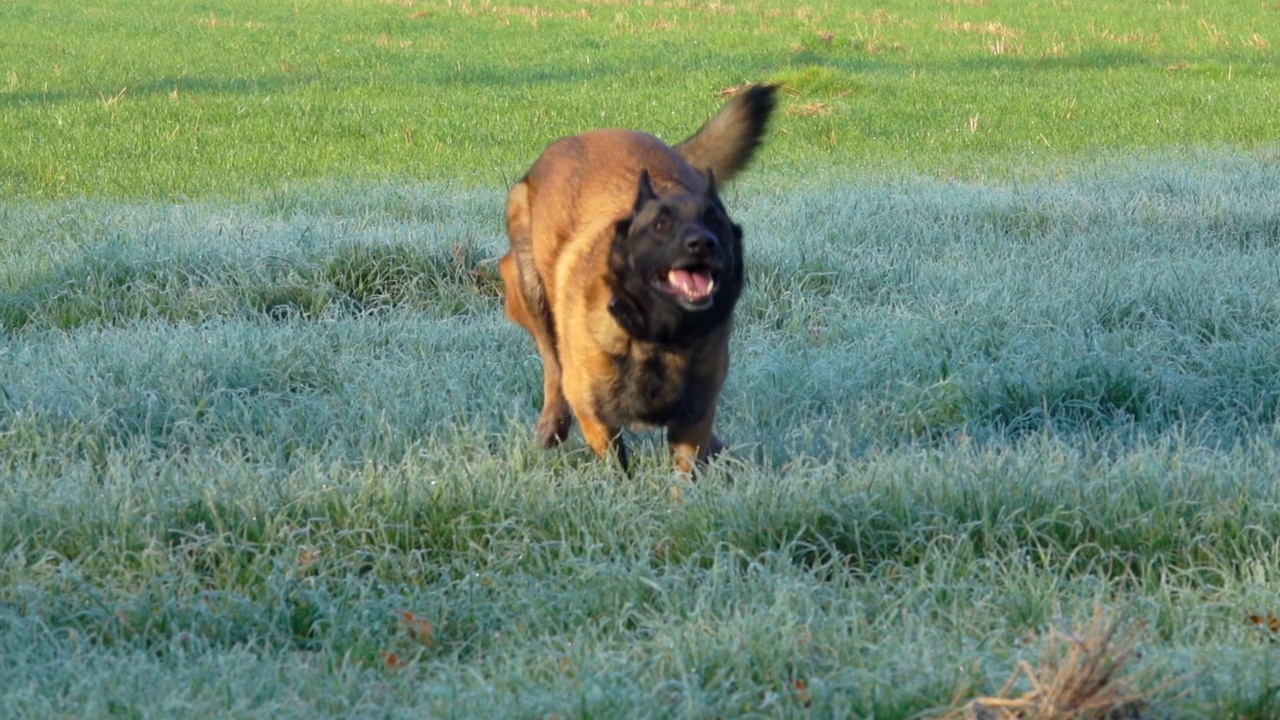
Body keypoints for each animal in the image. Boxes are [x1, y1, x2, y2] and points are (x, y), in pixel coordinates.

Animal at [499, 83, 778, 471]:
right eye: (660, 225)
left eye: (714, 219)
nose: (702, 244)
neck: (658, 340)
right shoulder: (597, 420)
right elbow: (618, 470)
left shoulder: (693, 420)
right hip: (529, 287)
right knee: (552, 362)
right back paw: (551, 423)